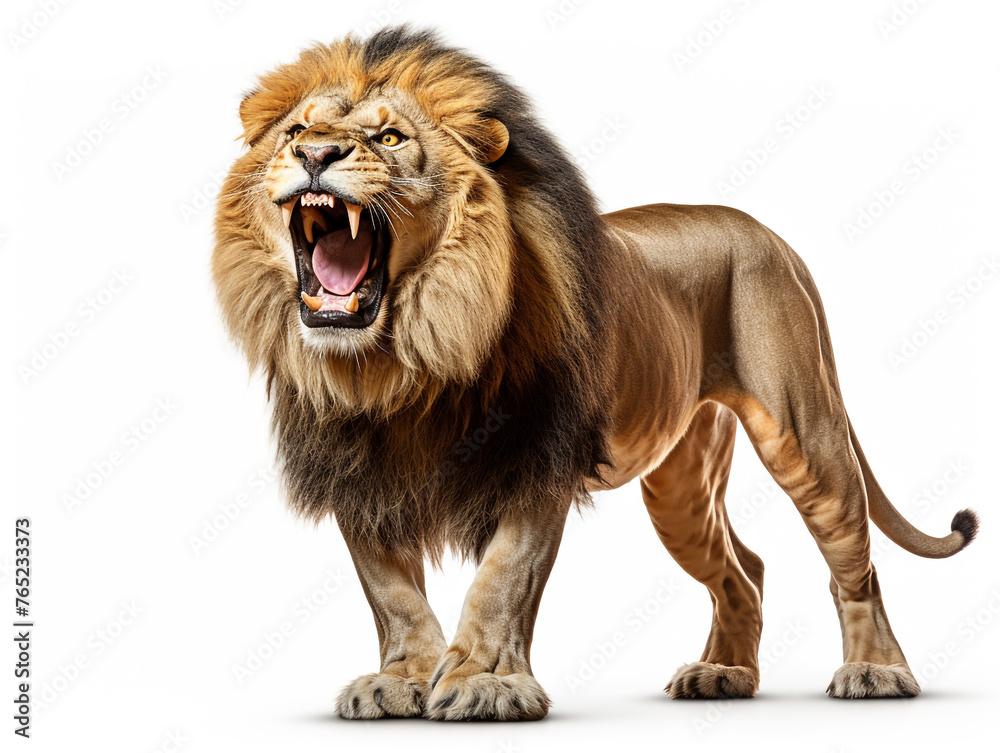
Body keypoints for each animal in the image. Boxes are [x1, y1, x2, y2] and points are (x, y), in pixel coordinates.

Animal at [212, 27, 979, 720]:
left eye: (391, 138)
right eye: (297, 130)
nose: (315, 154)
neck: (404, 361)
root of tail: (772, 236)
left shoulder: (535, 458)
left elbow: (502, 580)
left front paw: (486, 684)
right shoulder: (356, 472)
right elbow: (391, 591)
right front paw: (400, 680)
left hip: (805, 433)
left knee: (857, 563)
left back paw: (876, 672)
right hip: (681, 487)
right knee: (746, 569)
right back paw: (722, 674)